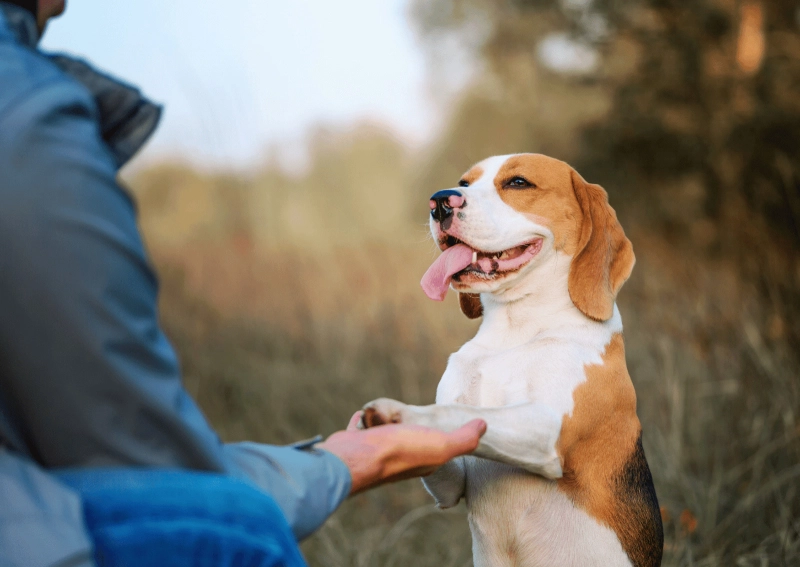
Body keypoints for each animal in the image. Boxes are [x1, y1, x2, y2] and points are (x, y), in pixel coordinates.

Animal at [362, 155, 664, 567]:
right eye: (464, 182)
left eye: (518, 183)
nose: (439, 202)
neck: (515, 329)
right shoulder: (453, 484)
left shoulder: (545, 429)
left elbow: (460, 413)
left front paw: (401, 413)